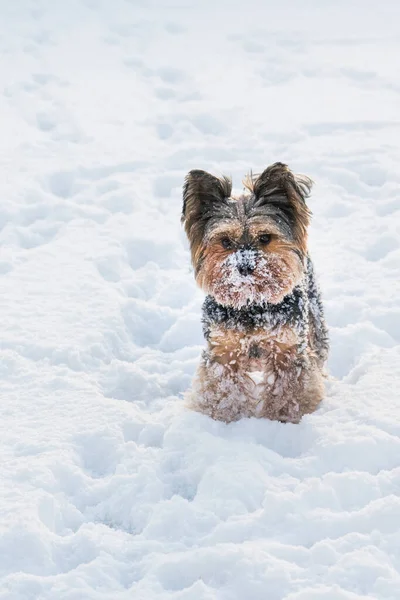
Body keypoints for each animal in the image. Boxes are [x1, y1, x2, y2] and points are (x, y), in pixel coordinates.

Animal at [181, 162, 328, 424]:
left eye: (265, 238)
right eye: (225, 242)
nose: (245, 266)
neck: (253, 304)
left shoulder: (288, 348)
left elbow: (289, 390)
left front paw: (282, 419)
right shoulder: (223, 349)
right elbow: (222, 388)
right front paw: (223, 418)